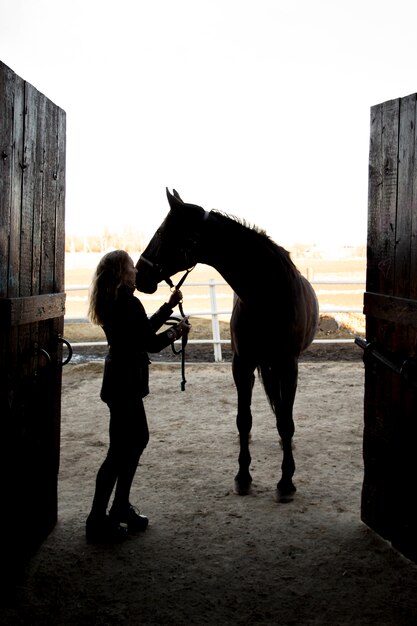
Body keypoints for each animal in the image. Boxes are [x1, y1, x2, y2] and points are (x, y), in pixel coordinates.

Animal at [135, 188, 316, 500]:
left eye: (161, 232)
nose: (138, 274)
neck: (269, 295)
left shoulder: (288, 365)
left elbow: (285, 421)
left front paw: (286, 481)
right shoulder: (241, 364)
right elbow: (244, 419)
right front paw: (243, 476)